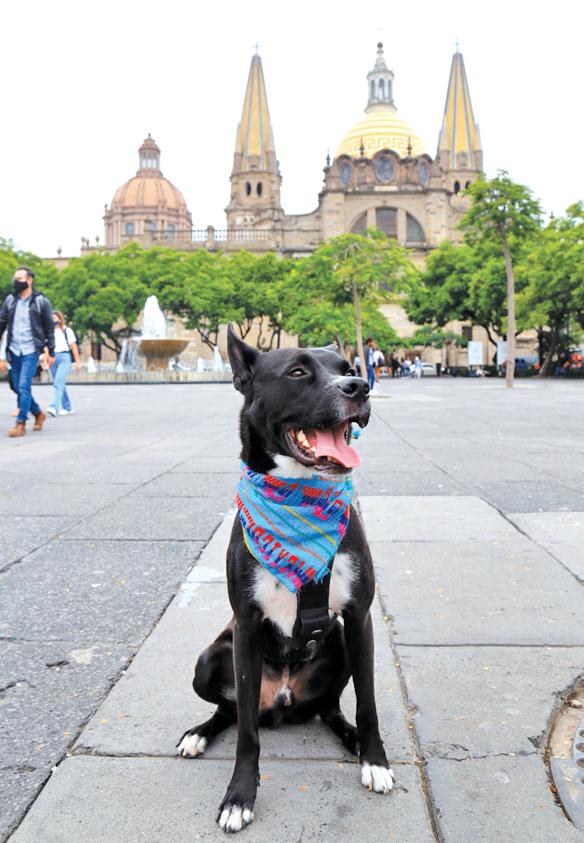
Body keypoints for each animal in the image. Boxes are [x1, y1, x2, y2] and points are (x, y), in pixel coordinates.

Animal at [178, 325, 393, 833]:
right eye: (297, 372)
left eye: (348, 367)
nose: (359, 386)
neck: (299, 493)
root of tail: (282, 700)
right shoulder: (246, 626)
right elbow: (246, 736)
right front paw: (239, 796)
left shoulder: (359, 619)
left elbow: (368, 702)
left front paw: (374, 758)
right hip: (210, 660)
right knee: (232, 710)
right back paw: (200, 733)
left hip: (339, 644)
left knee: (331, 709)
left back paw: (352, 739)